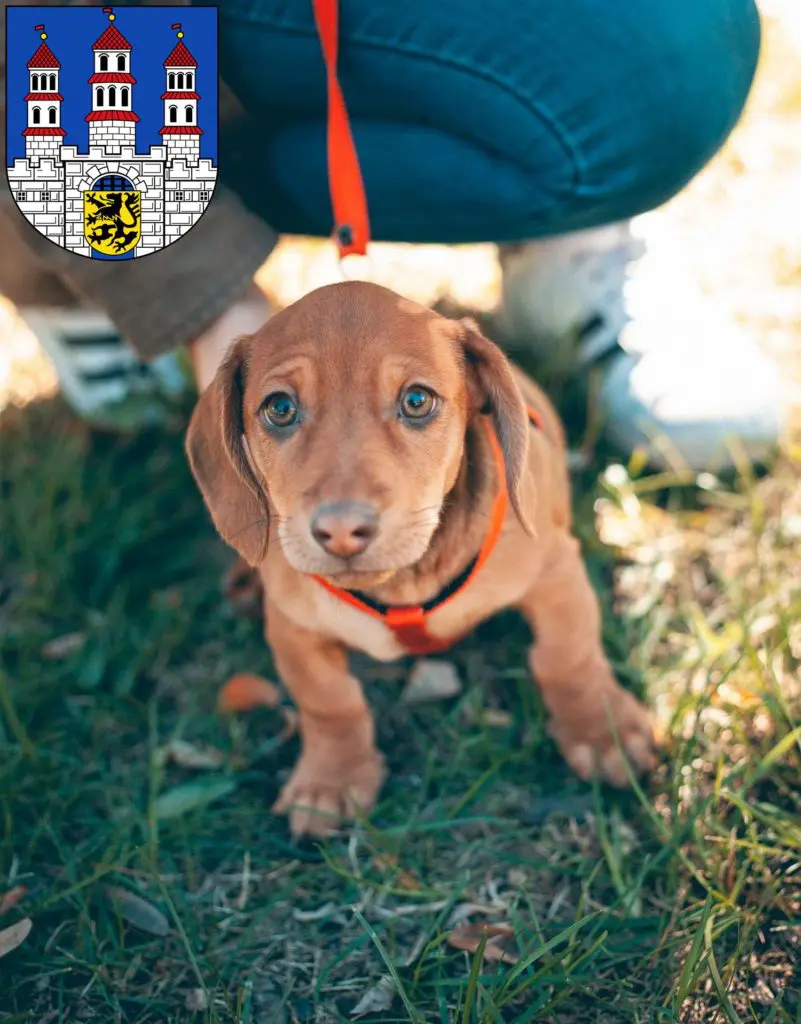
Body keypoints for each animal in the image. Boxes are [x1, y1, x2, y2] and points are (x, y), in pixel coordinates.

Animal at [189, 280, 659, 831]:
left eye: (416, 401)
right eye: (279, 408)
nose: (342, 531)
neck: (404, 582)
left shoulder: (555, 574)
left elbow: (567, 657)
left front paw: (602, 732)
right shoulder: (292, 627)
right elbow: (329, 702)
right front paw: (331, 778)